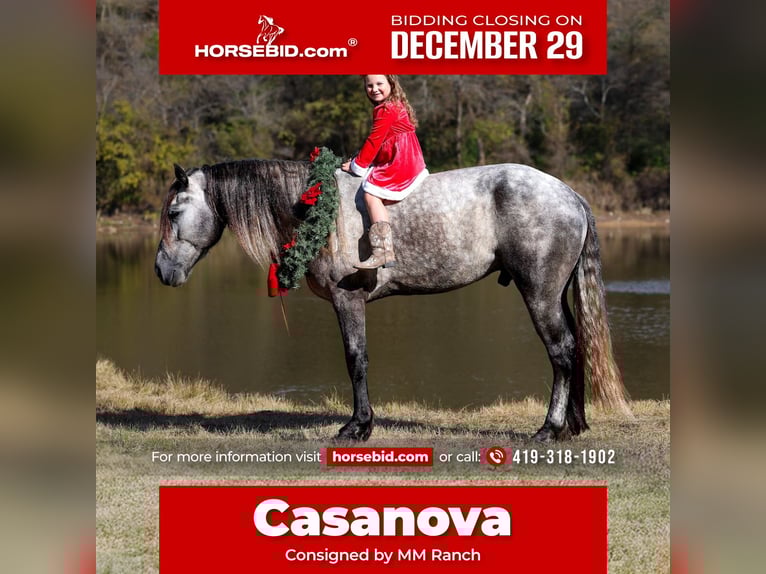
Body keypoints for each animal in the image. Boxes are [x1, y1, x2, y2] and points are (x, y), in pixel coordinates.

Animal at [154, 159, 632, 441]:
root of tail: (570, 195)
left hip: (539, 293)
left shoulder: (347, 301)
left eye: (175, 212)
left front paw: (357, 427)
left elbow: (356, 359)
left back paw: (550, 429)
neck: (316, 211)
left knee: (561, 350)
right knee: (575, 346)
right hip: (554, 294)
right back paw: (572, 426)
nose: (162, 271)